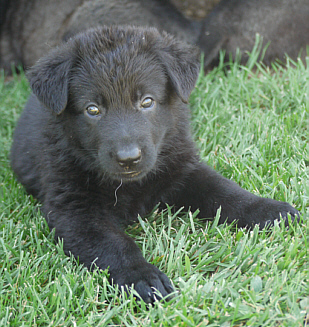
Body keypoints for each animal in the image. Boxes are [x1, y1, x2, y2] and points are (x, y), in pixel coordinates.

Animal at [10, 26, 298, 304]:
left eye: (146, 101)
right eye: (92, 109)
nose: (128, 158)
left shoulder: (183, 167)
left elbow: (225, 191)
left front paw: (267, 210)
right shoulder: (73, 208)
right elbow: (114, 244)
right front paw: (141, 276)